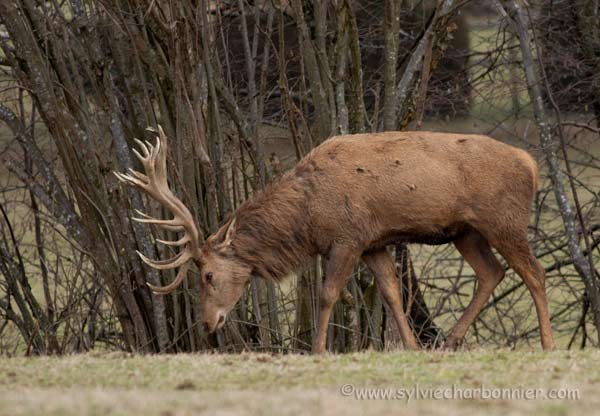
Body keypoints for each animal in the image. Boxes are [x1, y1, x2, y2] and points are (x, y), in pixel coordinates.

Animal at [115, 126, 556, 352]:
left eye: (207, 274)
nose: (209, 323)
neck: (308, 217)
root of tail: (531, 164)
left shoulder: (347, 237)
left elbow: (327, 294)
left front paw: (318, 349)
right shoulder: (374, 242)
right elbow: (391, 293)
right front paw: (412, 347)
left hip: (504, 220)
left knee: (535, 273)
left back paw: (548, 343)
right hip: (466, 231)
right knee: (492, 272)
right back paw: (450, 340)